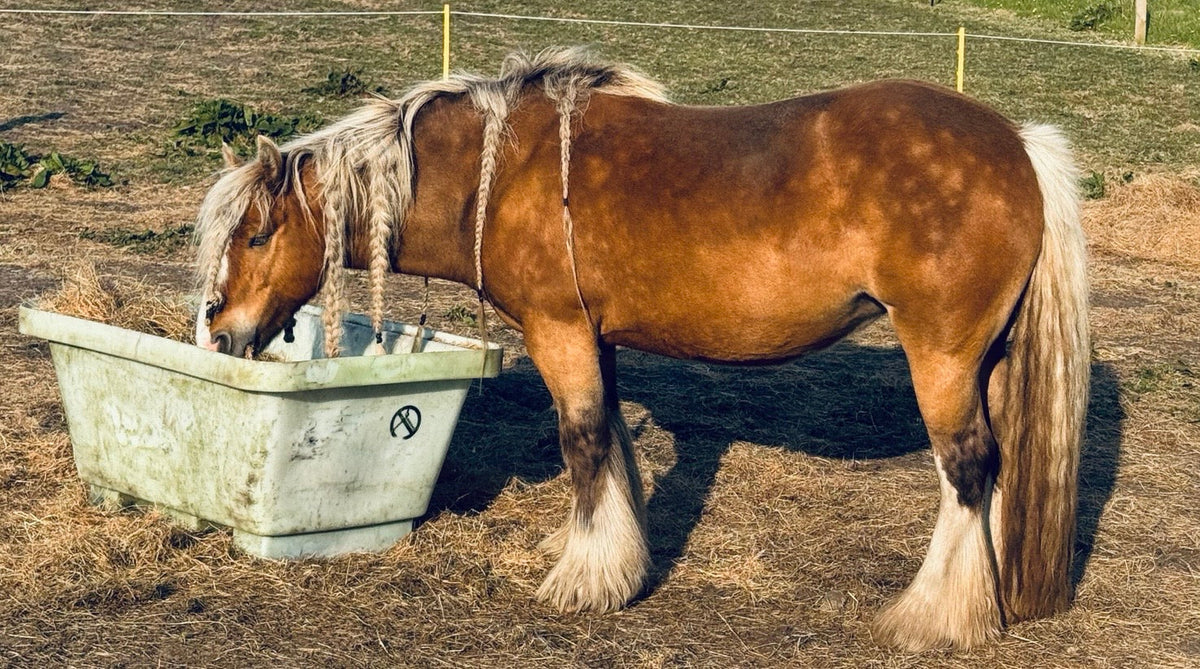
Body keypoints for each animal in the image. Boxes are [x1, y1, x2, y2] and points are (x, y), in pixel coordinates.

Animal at [194, 48, 1089, 650]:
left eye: (259, 233)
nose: (219, 327)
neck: (500, 174)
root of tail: (1018, 143)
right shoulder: (596, 338)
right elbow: (614, 442)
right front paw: (608, 554)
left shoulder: (559, 331)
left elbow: (584, 441)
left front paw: (585, 580)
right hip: (988, 362)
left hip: (941, 357)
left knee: (966, 468)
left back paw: (937, 616)